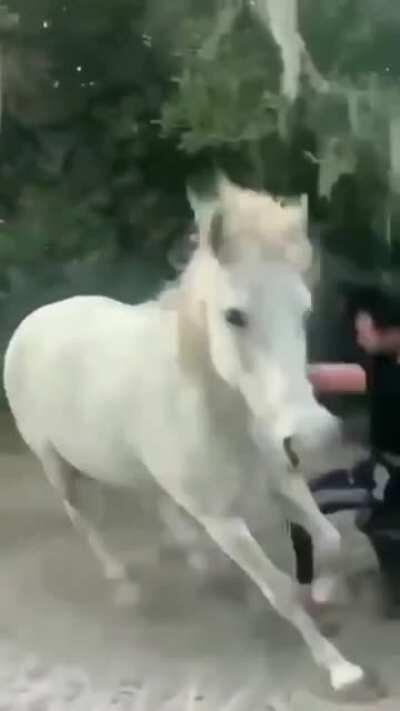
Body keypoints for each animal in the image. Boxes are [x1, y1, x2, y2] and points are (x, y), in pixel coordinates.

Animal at [3, 176, 368, 695]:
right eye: (234, 316)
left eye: (304, 311)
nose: (310, 438)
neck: (222, 412)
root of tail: (33, 320)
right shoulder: (221, 520)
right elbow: (279, 590)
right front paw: (339, 668)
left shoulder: (283, 481)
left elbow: (332, 542)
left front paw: (323, 589)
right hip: (57, 467)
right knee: (84, 520)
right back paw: (125, 584)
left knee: (154, 503)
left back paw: (198, 562)